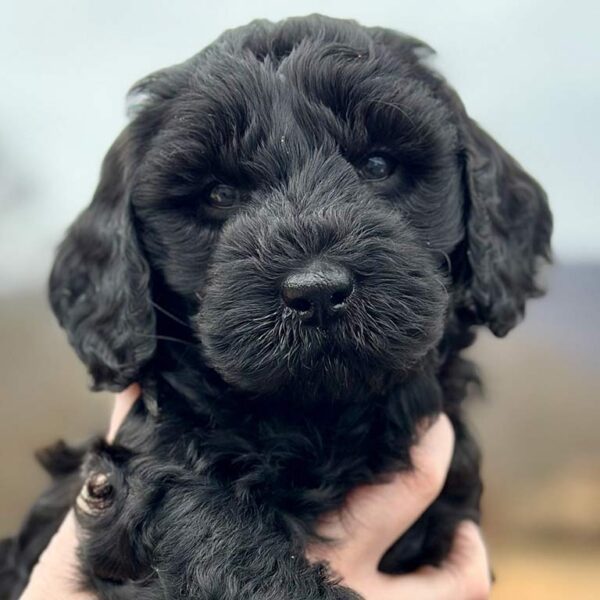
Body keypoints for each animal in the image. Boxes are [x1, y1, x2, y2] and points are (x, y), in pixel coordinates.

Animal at [1, 15, 552, 600]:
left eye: (379, 164)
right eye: (219, 194)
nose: (317, 291)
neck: (314, 423)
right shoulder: (133, 483)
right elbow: (224, 545)